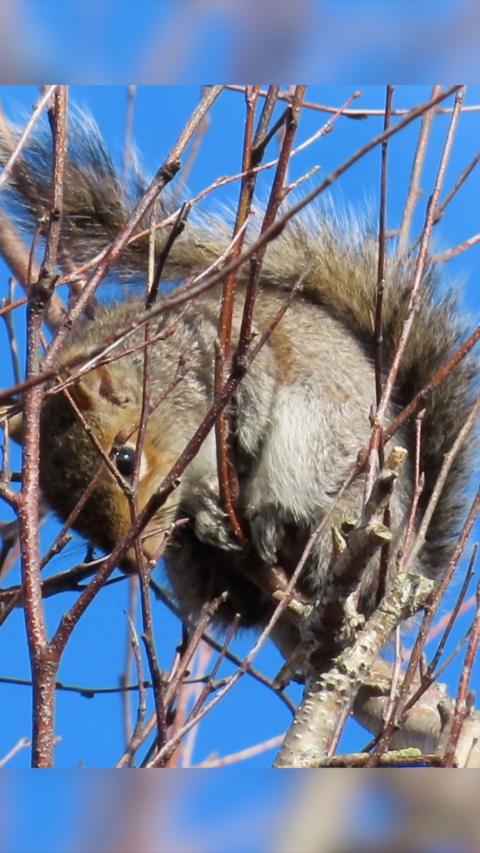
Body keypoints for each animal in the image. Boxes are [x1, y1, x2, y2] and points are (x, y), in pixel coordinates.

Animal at [0, 112, 476, 660]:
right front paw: (207, 517)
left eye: (125, 458)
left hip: (326, 438)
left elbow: (257, 389)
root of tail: (401, 560)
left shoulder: (226, 350)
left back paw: (279, 519)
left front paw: (244, 434)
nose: (138, 560)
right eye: (65, 514)